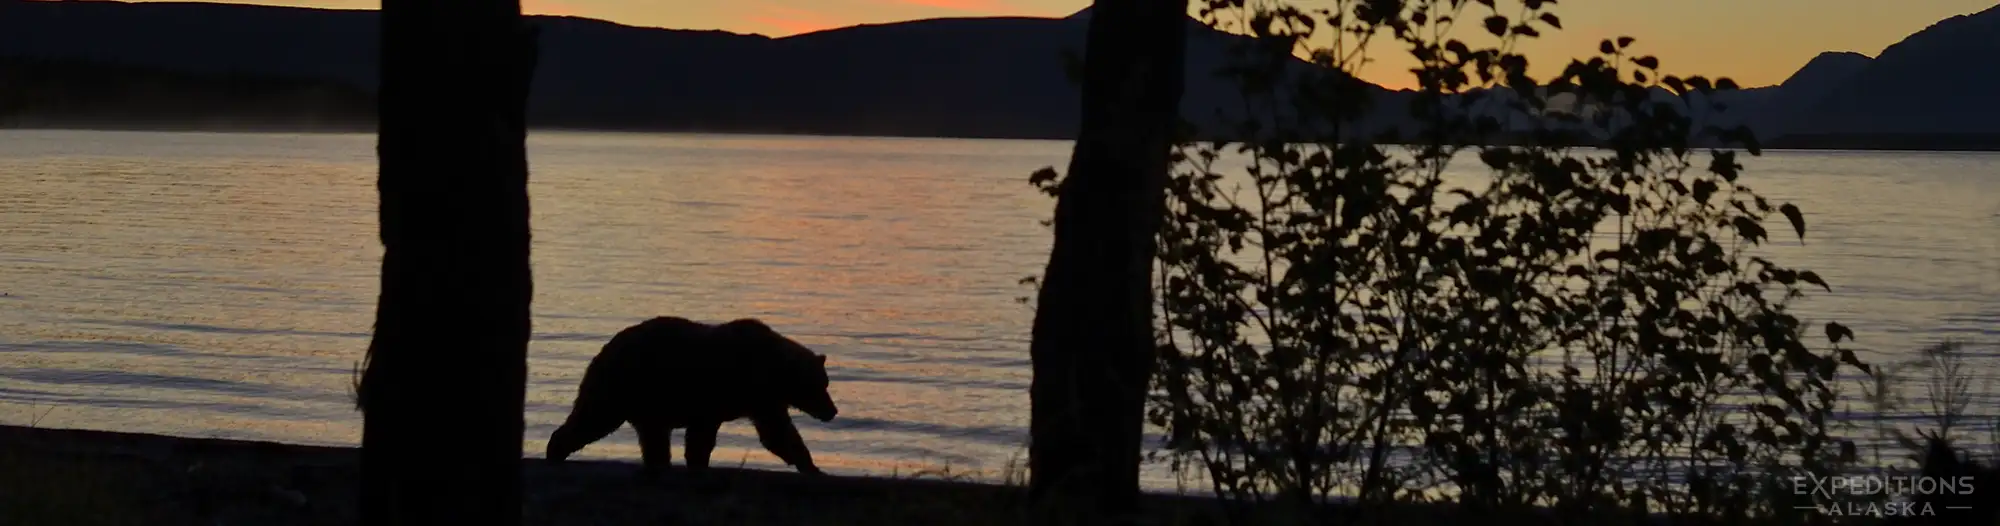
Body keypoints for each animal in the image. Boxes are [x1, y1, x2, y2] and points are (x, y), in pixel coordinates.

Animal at [544, 316, 839, 477]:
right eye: (820, 384)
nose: (832, 411)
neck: (772, 370)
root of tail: (603, 350)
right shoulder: (728, 392)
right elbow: (774, 433)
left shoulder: (758, 400)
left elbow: (776, 432)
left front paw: (812, 466)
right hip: (623, 384)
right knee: (593, 417)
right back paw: (555, 451)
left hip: (648, 399)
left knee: (652, 437)